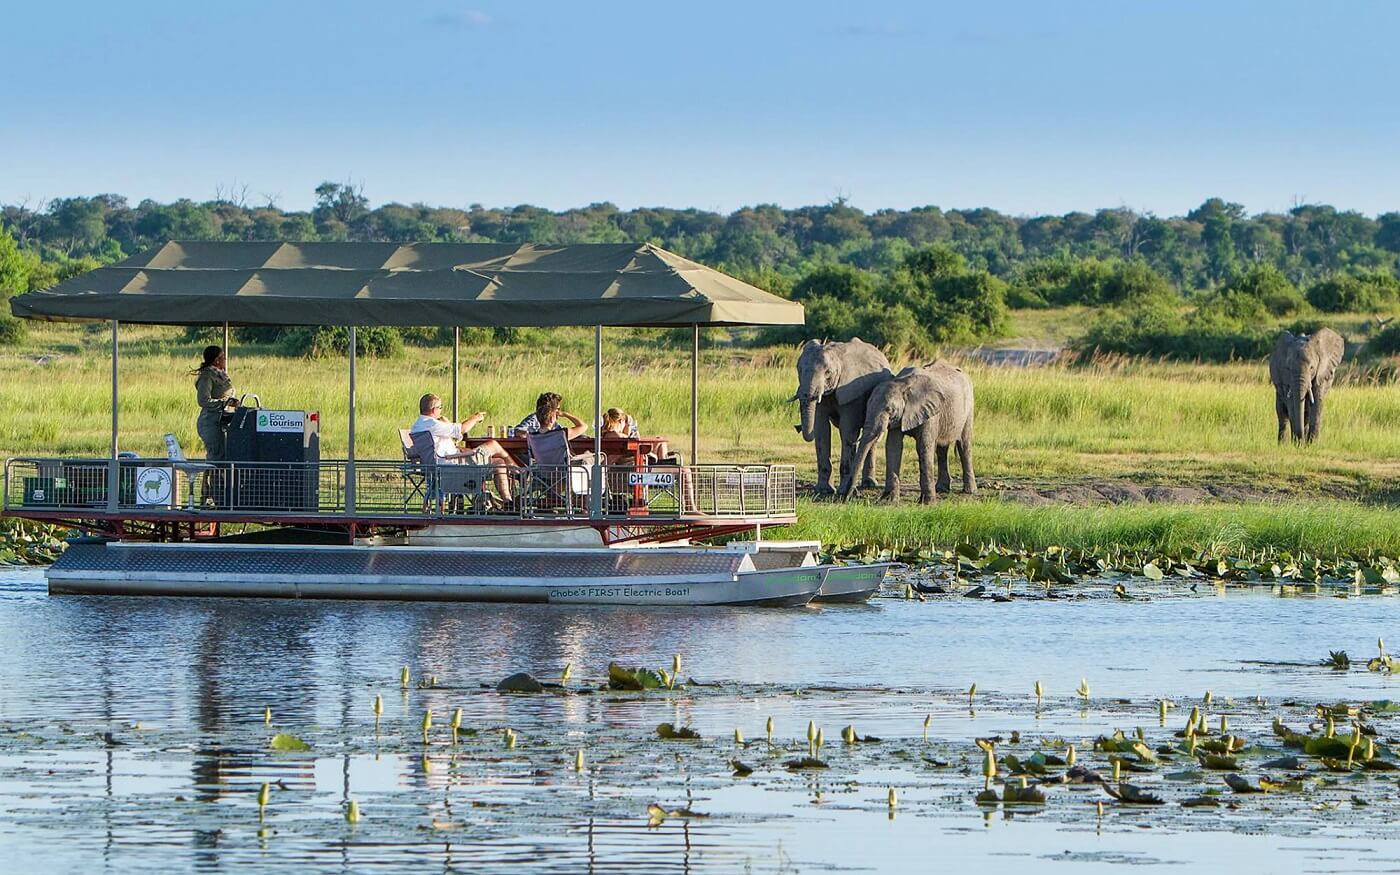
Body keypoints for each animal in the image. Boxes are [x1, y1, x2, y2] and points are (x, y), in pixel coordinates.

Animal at [795, 336, 890, 495]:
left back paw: (869, 485)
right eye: (799, 370)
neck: (837, 356)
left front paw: (841, 491)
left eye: (828, 372)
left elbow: (847, 431)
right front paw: (823, 491)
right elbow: (821, 430)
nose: (797, 427)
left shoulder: (852, 392)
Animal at [840, 361, 974, 501]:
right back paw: (942, 489)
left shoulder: (930, 412)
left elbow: (924, 446)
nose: (846, 498)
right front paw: (889, 500)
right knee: (941, 448)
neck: (903, 384)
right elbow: (893, 447)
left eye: (890, 410)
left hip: (969, 406)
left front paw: (927, 502)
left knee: (964, 445)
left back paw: (969, 491)